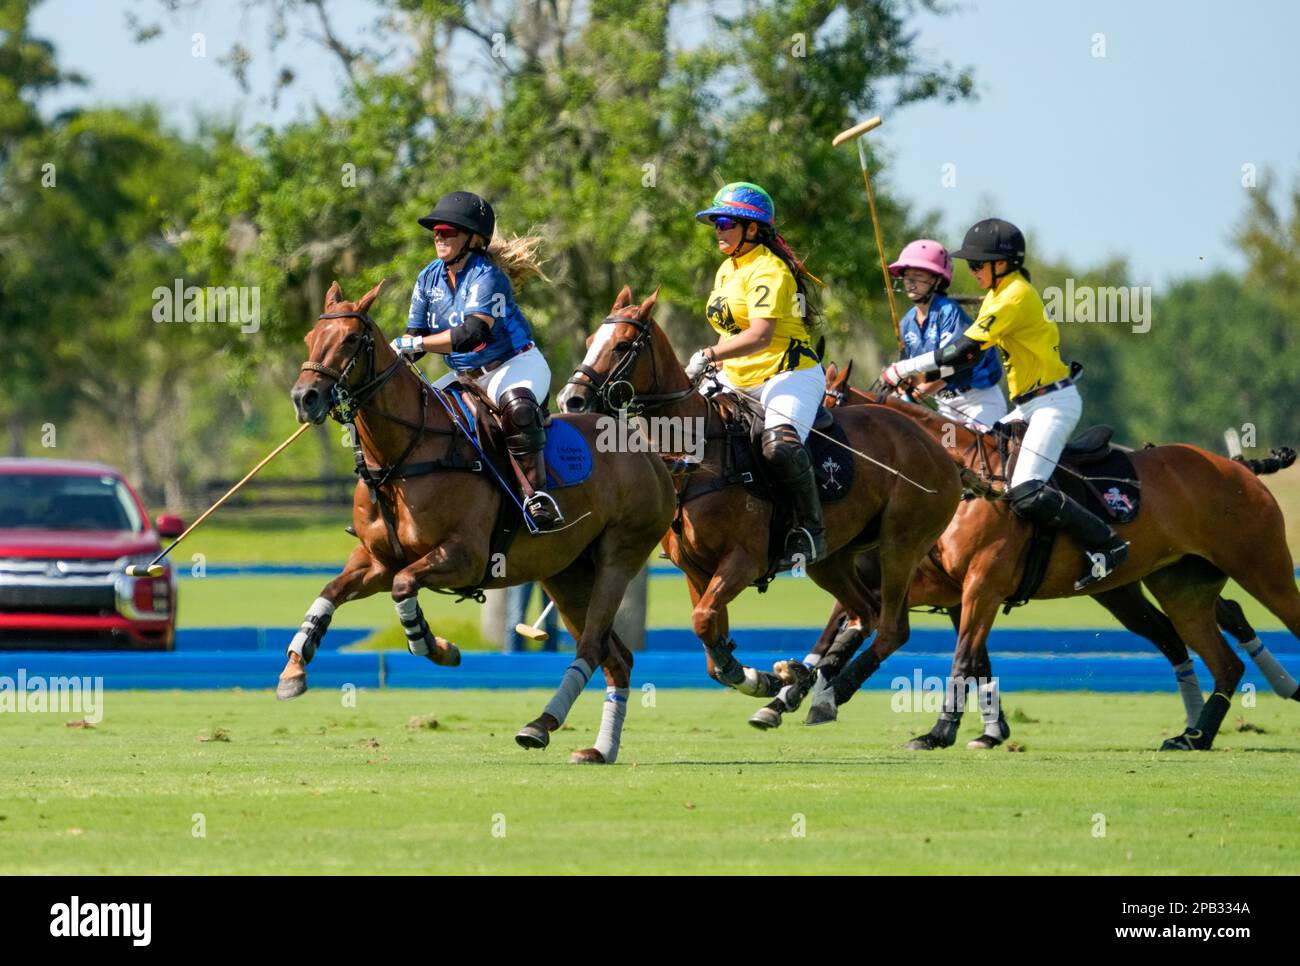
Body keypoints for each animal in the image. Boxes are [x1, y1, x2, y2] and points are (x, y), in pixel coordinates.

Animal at [279, 279, 676, 764]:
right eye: (310, 338)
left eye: (351, 339)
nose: (305, 398)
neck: (402, 456)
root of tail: (651, 454)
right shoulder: (377, 560)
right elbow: (329, 593)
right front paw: (294, 669)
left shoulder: (463, 556)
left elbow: (404, 588)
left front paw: (437, 648)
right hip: (566, 573)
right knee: (614, 656)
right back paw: (598, 748)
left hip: (620, 555)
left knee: (592, 644)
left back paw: (540, 726)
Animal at [559, 287, 967, 702]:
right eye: (590, 342)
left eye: (623, 345)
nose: (570, 400)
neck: (697, 451)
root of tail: (939, 448)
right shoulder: (695, 570)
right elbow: (710, 643)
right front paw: (764, 677)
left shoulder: (744, 560)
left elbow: (703, 621)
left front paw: (763, 678)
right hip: (832, 559)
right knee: (864, 612)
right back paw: (805, 682)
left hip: (901, 544)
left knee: (892, 627)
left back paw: (833, 689)